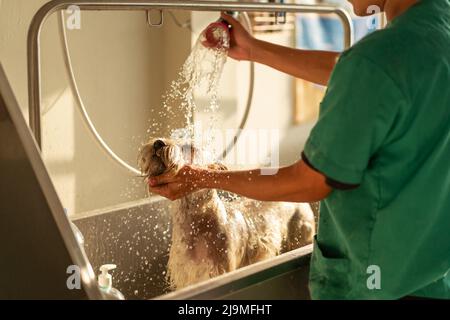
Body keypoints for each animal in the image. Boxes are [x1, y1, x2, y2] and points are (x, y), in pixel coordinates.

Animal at [139, 138, 314, 290]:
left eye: (190, 147)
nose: (158, 142)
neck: (197, 229)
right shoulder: (186, 274)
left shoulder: (220, 269)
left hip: (301, 232)